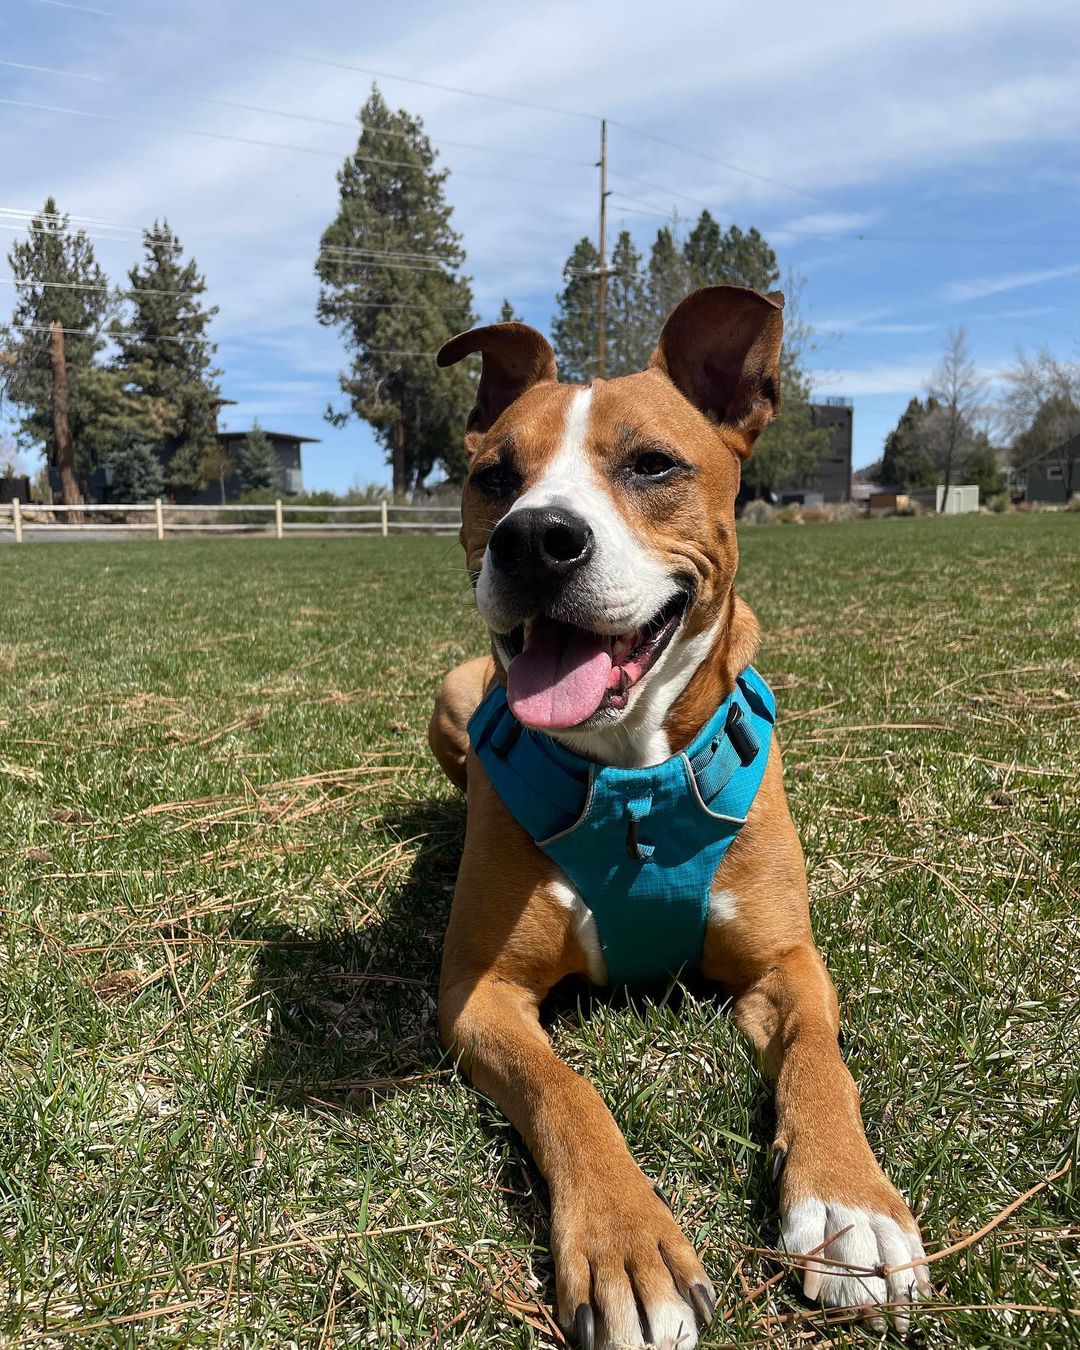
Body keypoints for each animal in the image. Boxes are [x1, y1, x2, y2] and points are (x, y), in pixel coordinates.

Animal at [429, 287, 928, 1350]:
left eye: (653, 464)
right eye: (495, 476)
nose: (533, 537)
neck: (631, 778)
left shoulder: (786, 962)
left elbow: (820, 1061)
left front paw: (852, 1205)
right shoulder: (479, 994)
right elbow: (567, 1091)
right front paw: (627, 1245)